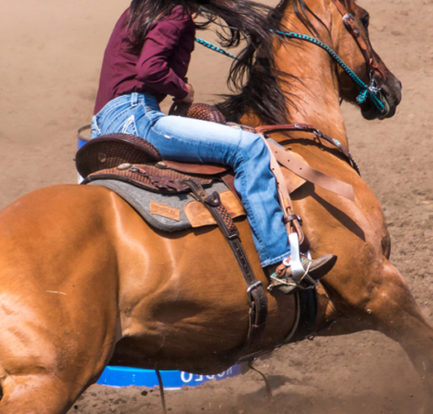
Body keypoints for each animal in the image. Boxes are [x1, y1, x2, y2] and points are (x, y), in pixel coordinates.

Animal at [0, 0, 430, 414]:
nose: (394, 87)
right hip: (41, 384)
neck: (296, 139)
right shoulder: (378, 287)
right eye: (364, 18)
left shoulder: (343, 312)